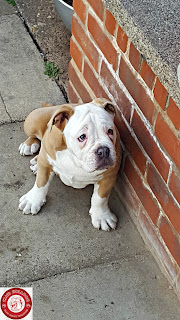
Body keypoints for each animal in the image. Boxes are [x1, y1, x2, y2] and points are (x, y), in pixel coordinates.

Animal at [18, 97, 121, 230]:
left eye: (110, 131)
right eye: (82, 137)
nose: (103, 150)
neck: (76, 159)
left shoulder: (109, 176)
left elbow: (100, 198)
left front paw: (102, 216)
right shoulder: (46, 163)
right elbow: (41, 183)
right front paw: (32, 200)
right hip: (32, 121)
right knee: (35, 137)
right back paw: (29, 145)